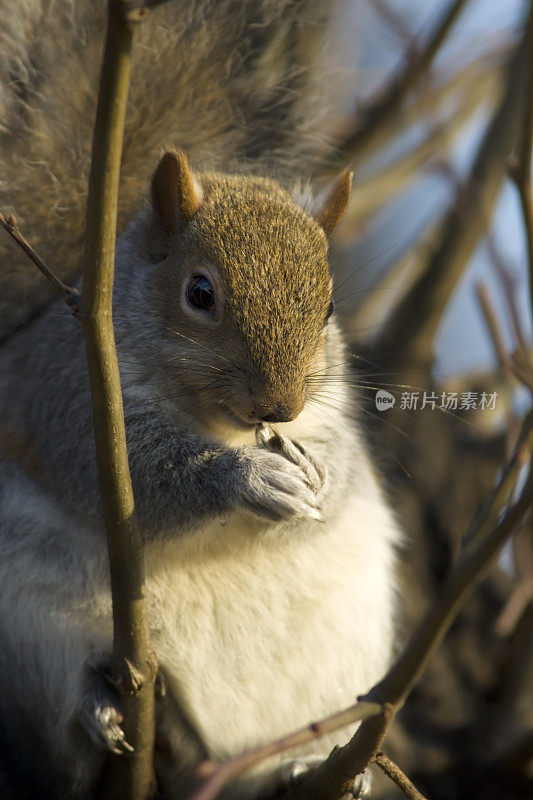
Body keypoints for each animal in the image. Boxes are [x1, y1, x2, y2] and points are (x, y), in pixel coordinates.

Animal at [0, 1, 400, 800]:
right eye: (200, 293)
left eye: (330, 306)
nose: (279, 408)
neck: (221, 424)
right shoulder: (72, 399)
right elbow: (144, 479)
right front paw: (249, 479)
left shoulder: (331, 411)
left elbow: (341, 468)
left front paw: (319, 477)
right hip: (28, 632)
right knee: (66, 731)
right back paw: (101, 711)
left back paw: (310, 765)